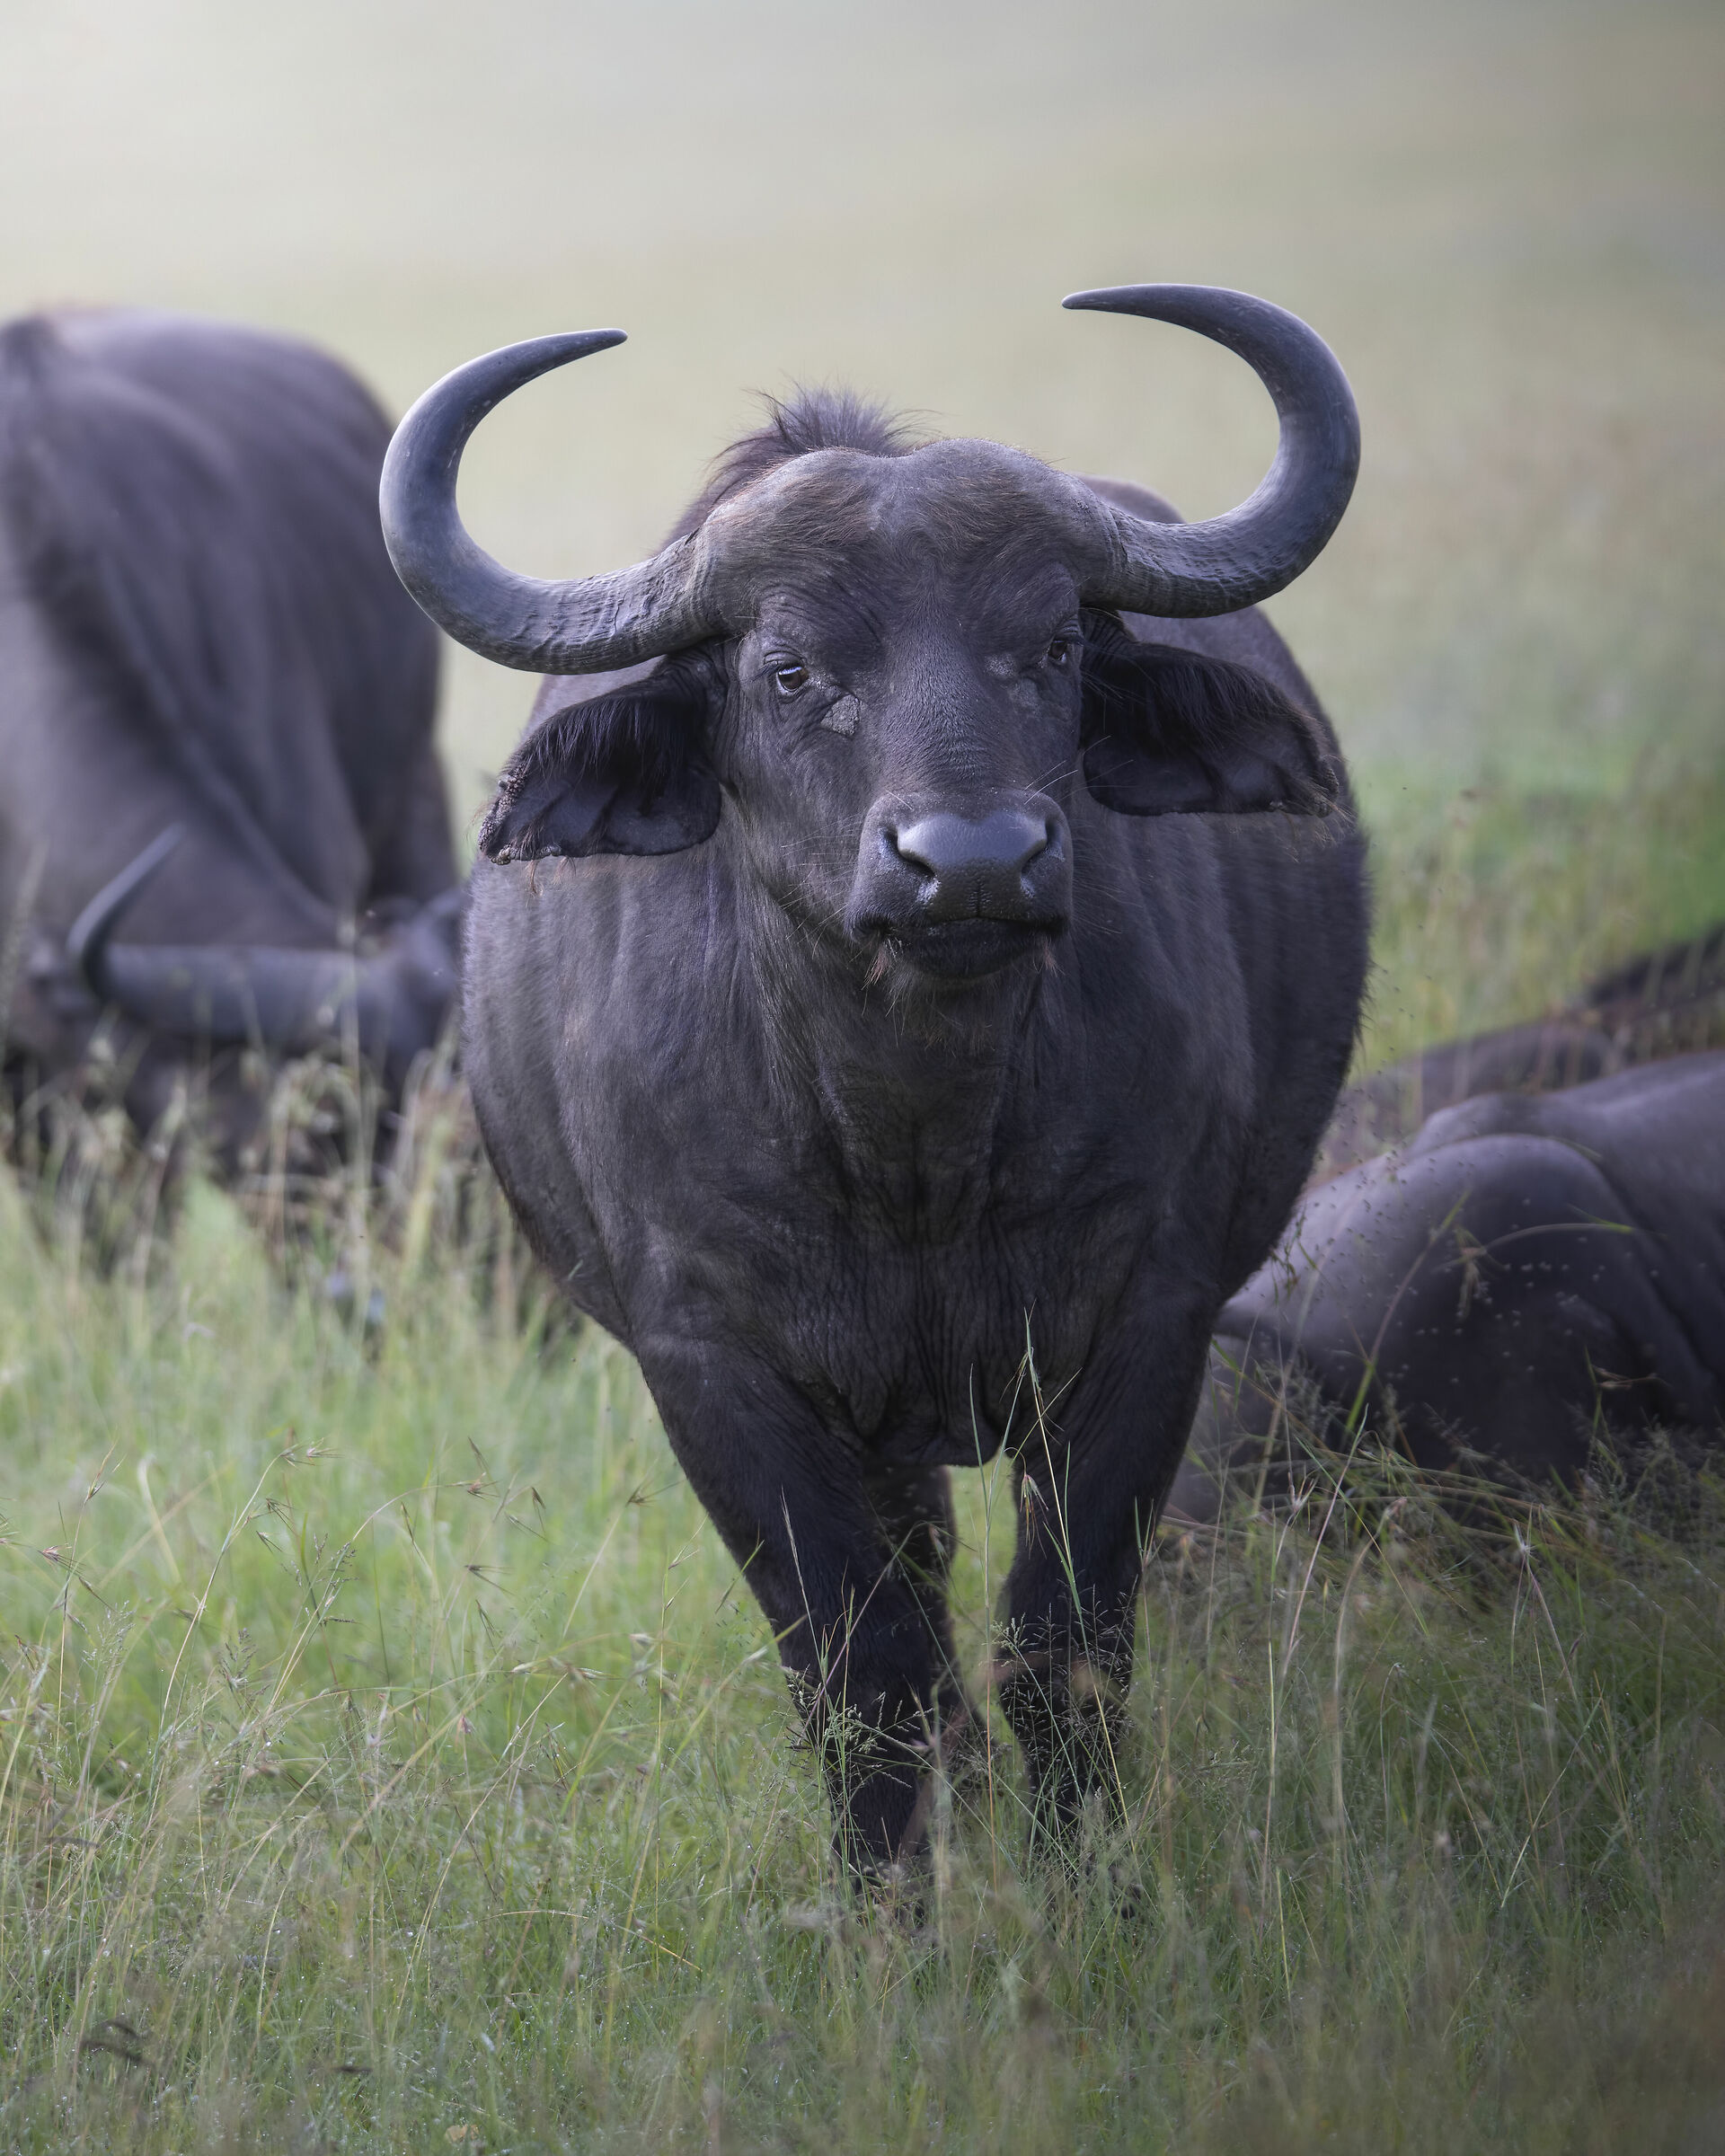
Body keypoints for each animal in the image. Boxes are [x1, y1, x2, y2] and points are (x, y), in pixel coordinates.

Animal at [381, 286, 1368, 1873]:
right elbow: (867, 1677)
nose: (969, 863)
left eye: (1055, 645)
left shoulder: (1146, 1327)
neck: (914, 1146)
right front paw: (895, 1898)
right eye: (790, 670)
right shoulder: (716, 1369)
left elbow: (1063, 1649)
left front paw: (1090, 1884)